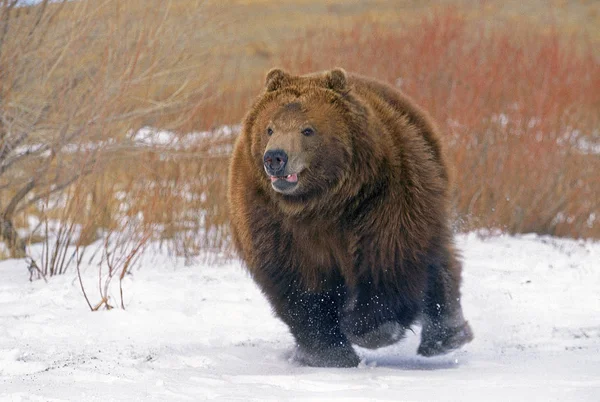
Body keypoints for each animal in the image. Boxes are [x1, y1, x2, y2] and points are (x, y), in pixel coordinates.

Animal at [227, 68, 472, 368]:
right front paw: (329, 353)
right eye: (270, 128)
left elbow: (387, 257)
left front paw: (370, 328)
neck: (320, 204)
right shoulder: (271, 218)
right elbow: (298, 284)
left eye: (307, 129)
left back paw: (445, 336)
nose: (275, 158)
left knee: (434, 259)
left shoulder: (380, 198)